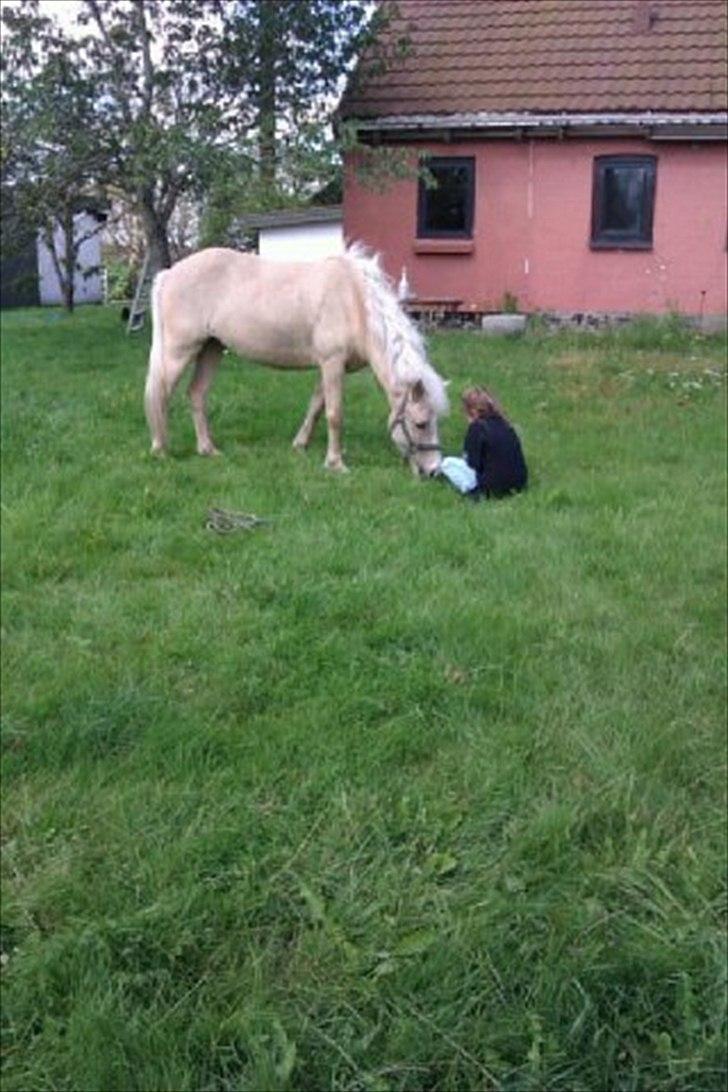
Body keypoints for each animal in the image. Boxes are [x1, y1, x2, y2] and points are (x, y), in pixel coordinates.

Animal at [144, 244, 449, 473]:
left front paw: (300, 445)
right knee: (161, 394)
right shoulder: (332, 363)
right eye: (420, 423)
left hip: (211, 348)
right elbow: (334, 413)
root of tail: (168, 274)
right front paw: (335, 463)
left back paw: (208, 450)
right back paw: (160, 450)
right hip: (179, 351)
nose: (434, 470)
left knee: (196, 394)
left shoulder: (331, 366)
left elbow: (316, 406)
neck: (355, 301)